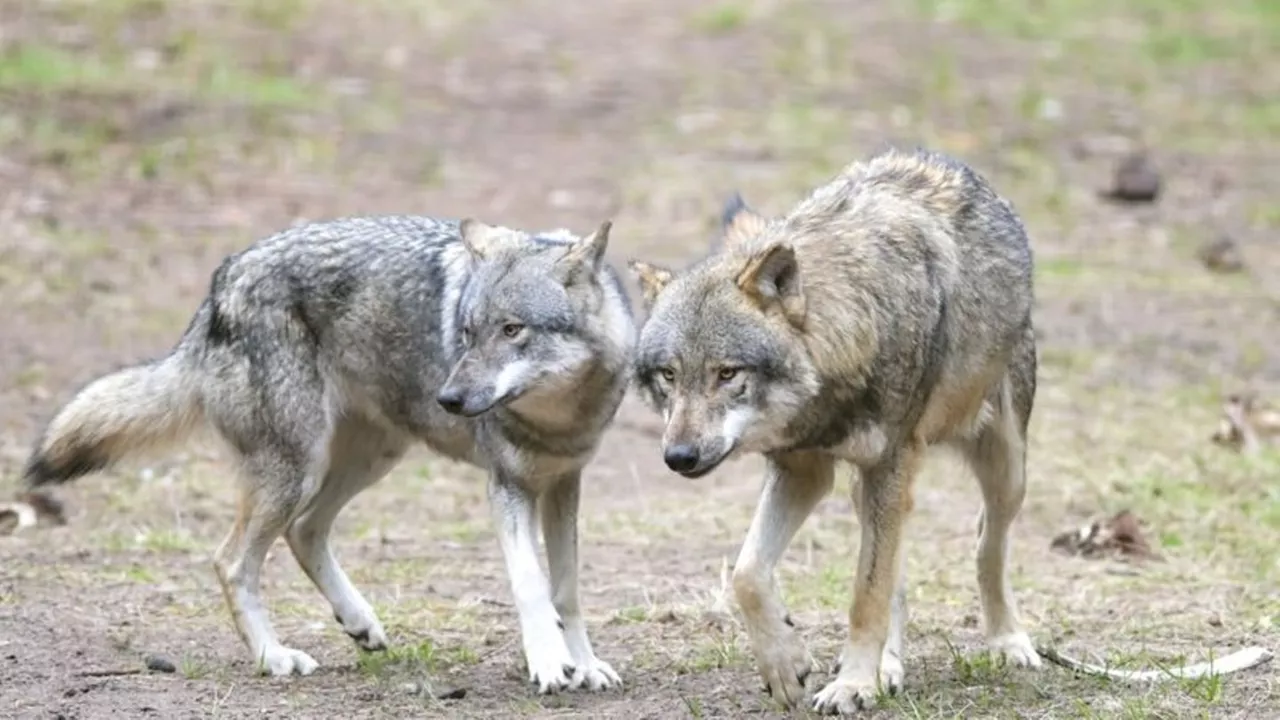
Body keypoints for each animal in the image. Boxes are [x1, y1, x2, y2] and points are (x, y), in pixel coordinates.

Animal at [22, 212, 632, 691]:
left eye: (511, 330)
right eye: (466, 332)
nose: (449, 398)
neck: (559, 417)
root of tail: (222, 282)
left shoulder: (563, 485)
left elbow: (567, 591)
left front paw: (584, 664)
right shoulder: (507, 487)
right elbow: (532, 586)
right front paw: (549, 664)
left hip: (366, 460)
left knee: (304, 531)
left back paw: (358, 622)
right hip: (298, 469)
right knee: (231, 560)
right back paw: (274, 658)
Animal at [627, 146, 1039, 712]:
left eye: (727, 373)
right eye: (669, 375)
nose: (680, 457)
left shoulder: (888, 465)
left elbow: (867, 594)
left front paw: (852, 684)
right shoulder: (803, 470)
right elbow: (748, 574)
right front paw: (787, 665)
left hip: (1004, 470)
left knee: (985, 544)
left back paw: (1007, 640)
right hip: (872, 488)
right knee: (899, 575)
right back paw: (890, 667)